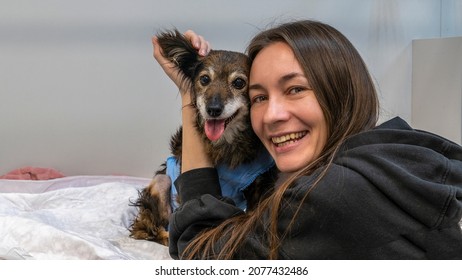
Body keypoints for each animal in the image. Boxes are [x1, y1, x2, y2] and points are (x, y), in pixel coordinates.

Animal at [128, 29, 276, 246]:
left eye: (239, 83)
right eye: (205, 79)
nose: (213, 109)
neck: (226, 141)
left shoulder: (257, 185)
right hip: (161, 182)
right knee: (151, 228)